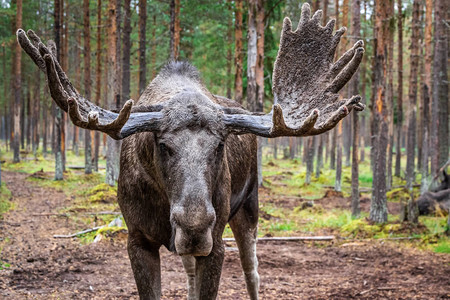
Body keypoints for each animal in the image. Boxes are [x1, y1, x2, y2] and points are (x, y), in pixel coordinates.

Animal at [17, 4, 366, 300]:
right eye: (163, 145)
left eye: (220, 145)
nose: (194, 225)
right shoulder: (138, 239)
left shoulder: (215, 244)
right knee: (190, 274)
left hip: (248, 208)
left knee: (252, 273)